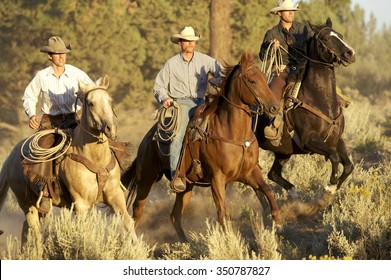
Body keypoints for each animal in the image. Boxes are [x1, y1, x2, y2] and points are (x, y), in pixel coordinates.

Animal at [0, 76, 136, 243]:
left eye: (109, 101)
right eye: (90, 103)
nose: (110, 128)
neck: (95, 158)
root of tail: (10, 158)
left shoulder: (116, 196)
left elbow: (128, 223)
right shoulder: (82, 204)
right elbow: (85, 232)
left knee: (27, 230)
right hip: (27, 203)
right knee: (35, 230)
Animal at [122, 51, 282, 242]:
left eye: (265, 77)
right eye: (252, 81)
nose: (274, 107)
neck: (233, 133)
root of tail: (146, 139)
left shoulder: (250, 173)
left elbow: (268, 191)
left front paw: (277, 221)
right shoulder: (217, 178)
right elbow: (222, 212)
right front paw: (229, 240)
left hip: (186, 187)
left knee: (175, 215)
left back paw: (185, 244)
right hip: (146, 179)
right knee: (136, 212)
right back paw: (133, 243)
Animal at [256, 17, 356, 199]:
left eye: (340, 35)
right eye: (325, 39)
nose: (350, 53)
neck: (320, 100)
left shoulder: (337, 139)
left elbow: (348, 165)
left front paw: (333, 187)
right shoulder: (308, 139)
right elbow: (334, 157)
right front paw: (329, 185)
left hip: (283, 152)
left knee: (272, 174)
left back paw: (292, 192)